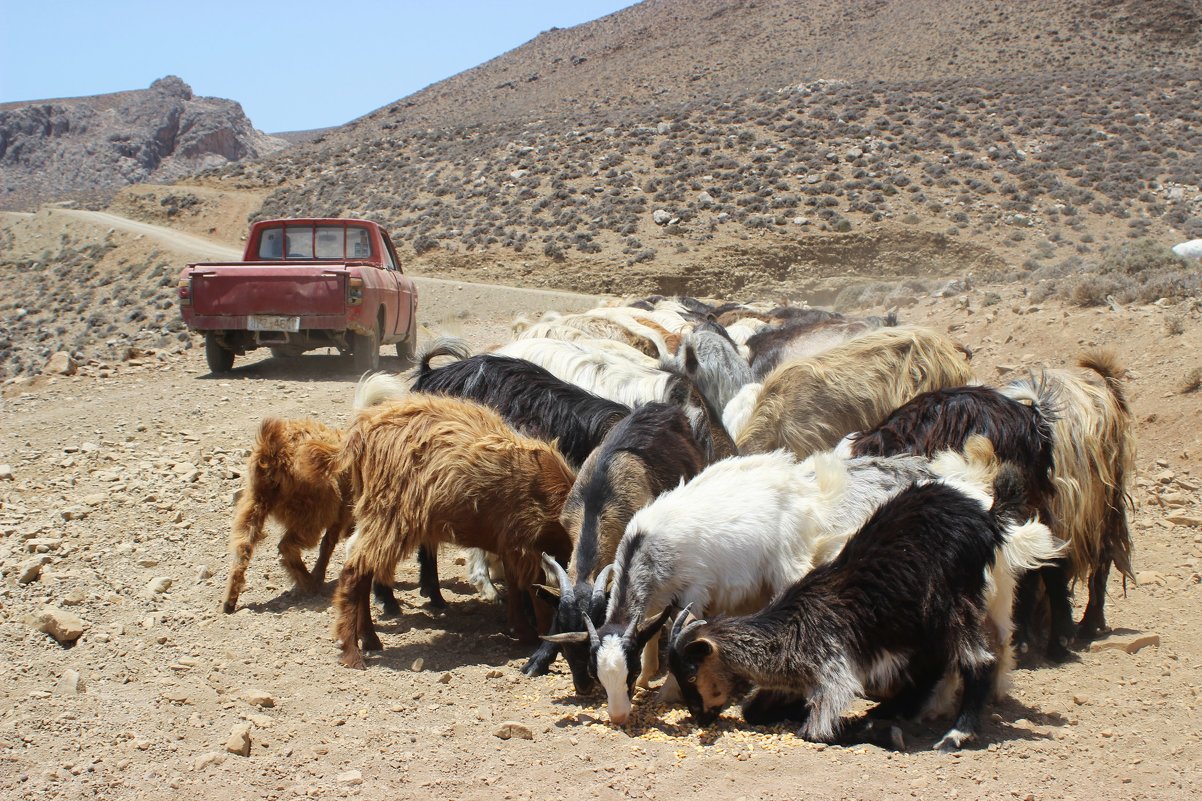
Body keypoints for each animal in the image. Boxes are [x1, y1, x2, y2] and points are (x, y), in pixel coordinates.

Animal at [223, 418, 350, 610]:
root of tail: (273, 451)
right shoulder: (340, 512)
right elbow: (327, 544)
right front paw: (318, 575)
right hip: (314, 510)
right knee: (287, 545)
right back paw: (308, 582)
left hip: (253, 502)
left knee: (243, 546)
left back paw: (229, 601)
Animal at [326, 392, 574, 668]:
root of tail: (362, 431)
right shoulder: (525, 543)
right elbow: (534, 589)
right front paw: (538, 636)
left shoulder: (511, 544)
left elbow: (516, 585)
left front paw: (521, 630)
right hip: (390, 516)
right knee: (353, 573)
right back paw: (351, 651)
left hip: (376, 516)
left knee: (362, 572)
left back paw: (369, 638)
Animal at [673, 461, 1057, 750]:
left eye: (691, 671)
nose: (699, 716)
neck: (788, 631)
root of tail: (989, 517)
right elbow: (756, 709)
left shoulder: (833, 669)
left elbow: (818, 731)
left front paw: (882, 730)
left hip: (950, 600)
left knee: (978, 661)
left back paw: (954, 734)